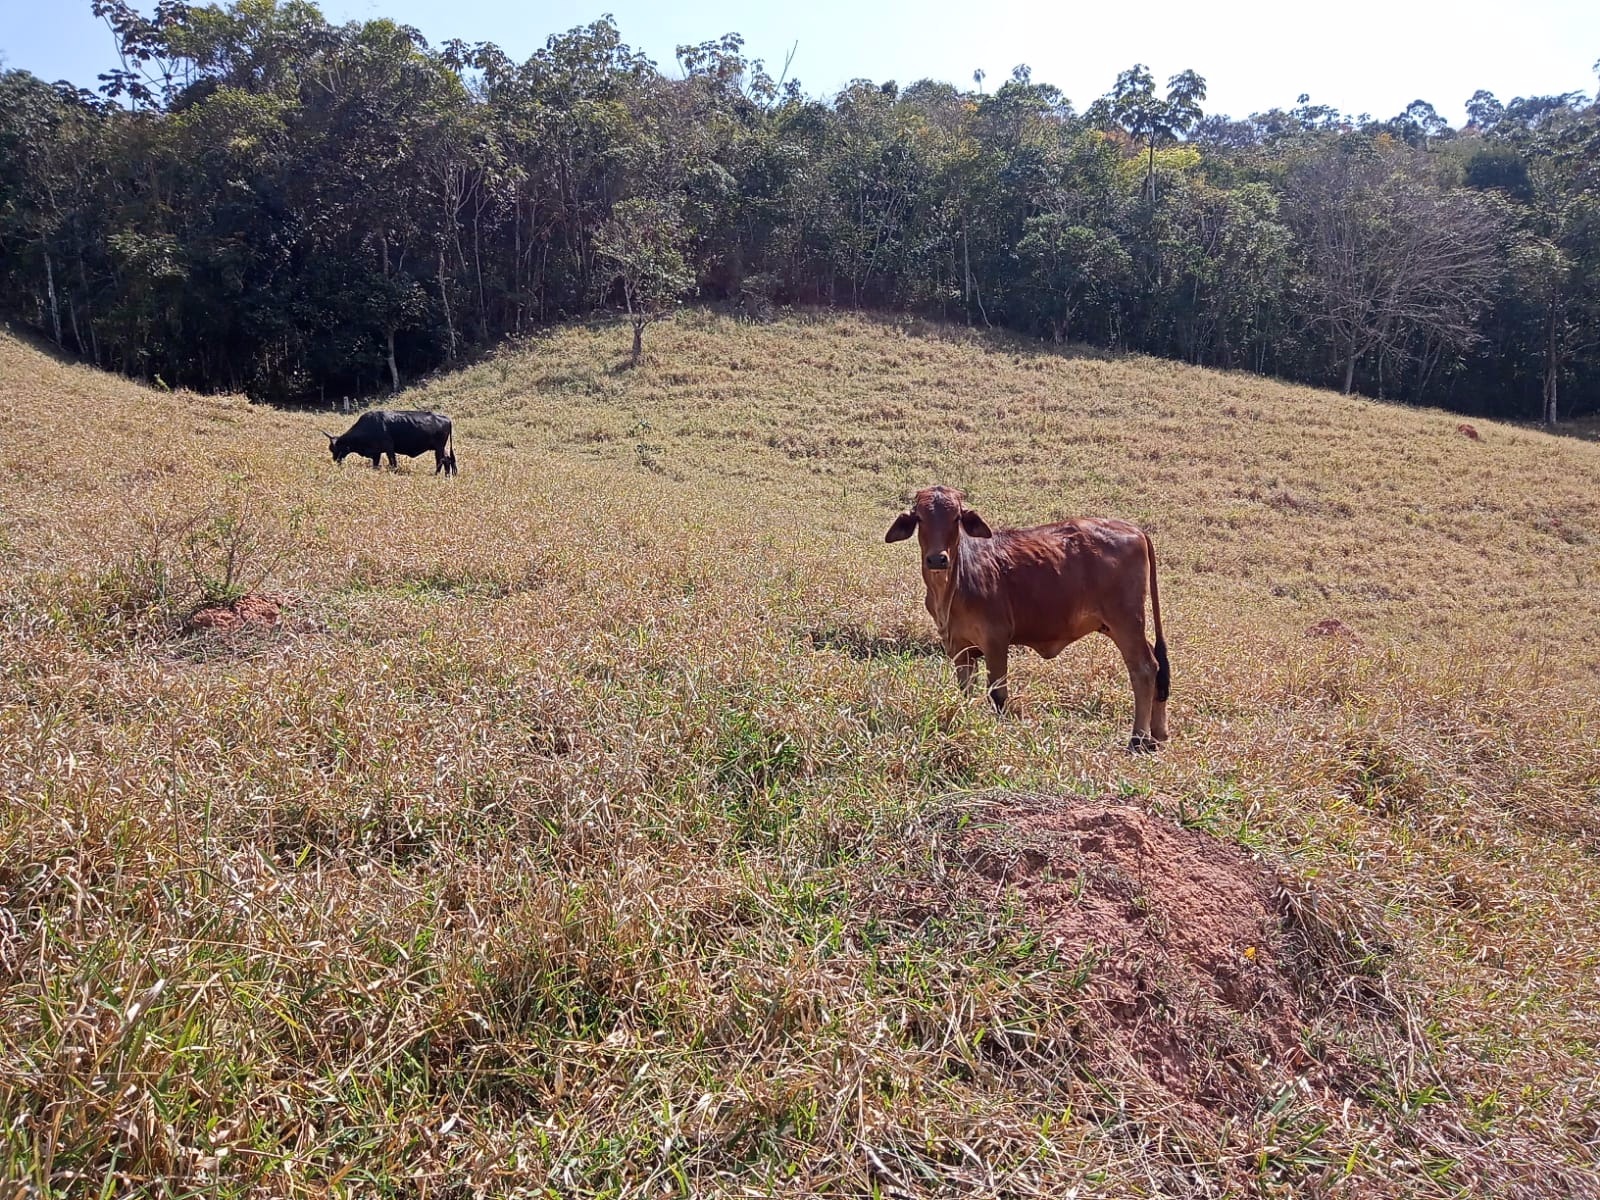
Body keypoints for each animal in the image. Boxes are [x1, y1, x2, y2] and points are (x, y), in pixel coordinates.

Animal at [323, 409, 454, 473]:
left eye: (335, 448)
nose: (335, 460)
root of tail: (446, 418)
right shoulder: (376, 453)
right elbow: (375, 465)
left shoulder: (389, 448)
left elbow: (393, 464)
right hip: (441, 448)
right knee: (447, 460)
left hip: (439, 448)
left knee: (441, 461)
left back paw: (436, 474)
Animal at [883, 486, 1171, 752]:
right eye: (920, 518)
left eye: (956, 518)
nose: (937, 559)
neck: (954, 584)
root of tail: (1134, 529)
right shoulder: (958, 647)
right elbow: (965, 691)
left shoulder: (995, 640)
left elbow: (998, 694)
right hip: (1121, 626)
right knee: (1156, 667)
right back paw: (1157, 734)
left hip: (1127, 623)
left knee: (1144, 669)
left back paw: (1139, 738)